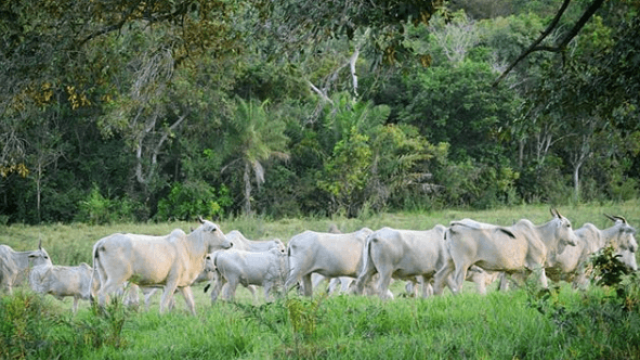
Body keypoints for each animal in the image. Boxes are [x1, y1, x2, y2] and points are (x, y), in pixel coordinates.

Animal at [89, 217, 231, 316]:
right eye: (213, 229)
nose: (230, 243)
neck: (189, 247)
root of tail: (102, 241)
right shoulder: (171, 282)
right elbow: (164, 303)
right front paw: (161, 317)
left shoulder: (183, 285)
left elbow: (190, 303)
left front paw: (195, 318)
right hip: (116, 279)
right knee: (102, 294)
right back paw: (105, 316)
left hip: (105, 276)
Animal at [436, 207, 580, 294]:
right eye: (568, 225)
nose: (576, 241)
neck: (540, 235)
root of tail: (452, 226)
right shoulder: (537, 266)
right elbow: (544, 285)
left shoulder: (518, 271)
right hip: (462, 265)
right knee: (457, 283)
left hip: (450, 262)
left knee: (439, 277)